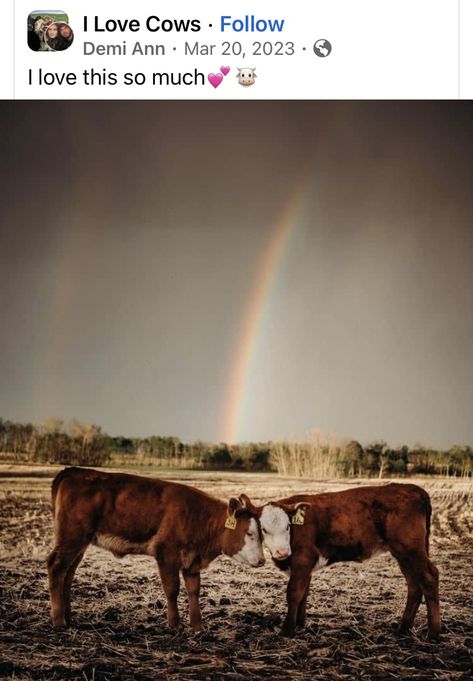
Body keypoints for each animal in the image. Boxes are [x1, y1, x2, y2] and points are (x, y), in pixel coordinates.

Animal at [46, 468, 264, 632]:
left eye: (262, 534)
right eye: (249, 533)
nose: (262, 561)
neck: (197, 517)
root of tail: (74, 471)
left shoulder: (192, 562)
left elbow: (194, 591)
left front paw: (198, 626)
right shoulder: (166, 554)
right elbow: (172, 589)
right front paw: (174, 624)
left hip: (79, 543)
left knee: (68, 573)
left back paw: (68, 615)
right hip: (72, 538)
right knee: (56, 567)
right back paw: (59, 620)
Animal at [242, 484, 440, 636]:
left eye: (287, 526)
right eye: (264, 529)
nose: (282, 552)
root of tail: (412, 488)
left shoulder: (303, 560)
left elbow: (294, 593)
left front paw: (287, 629)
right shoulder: (305, 567)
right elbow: (303, 594)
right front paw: (299, 625)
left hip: (410, 550)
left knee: (429, 577)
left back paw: (434, 633)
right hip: (403, 554)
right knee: (414, 584)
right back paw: (403, 628)